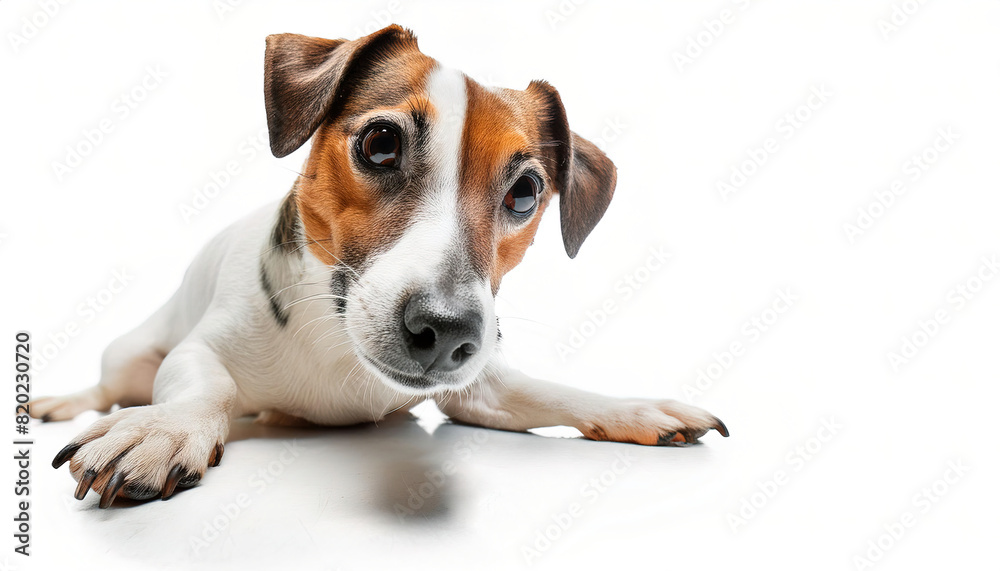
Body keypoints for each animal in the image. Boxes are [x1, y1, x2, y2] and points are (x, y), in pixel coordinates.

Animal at [33, 25, 728, 510]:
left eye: (526, 192)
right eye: (380, 143)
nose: (447, 332)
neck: (338, 340)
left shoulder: (479, 391)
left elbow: (548, 393)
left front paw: (638, 410)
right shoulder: (200, 349)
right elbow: (205, 385)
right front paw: (163, 430)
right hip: (130, 354)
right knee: (108, 385)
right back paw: (66, 402)